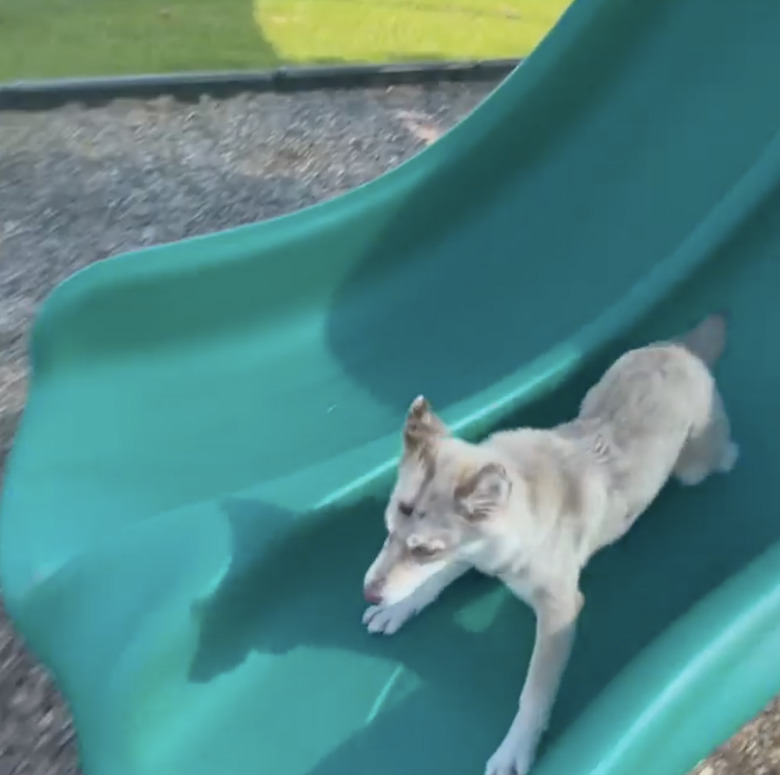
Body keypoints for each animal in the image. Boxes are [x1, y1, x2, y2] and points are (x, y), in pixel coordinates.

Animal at [360, 314, 736, 775]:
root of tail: (681, 351)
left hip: (694, 465)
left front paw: (515, 748)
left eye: (424, 549)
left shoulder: (559, 613)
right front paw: (397, 607)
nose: (369, 591)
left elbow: (534, 693)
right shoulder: (476, 551)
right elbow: (433, 581)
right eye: (388, 529)